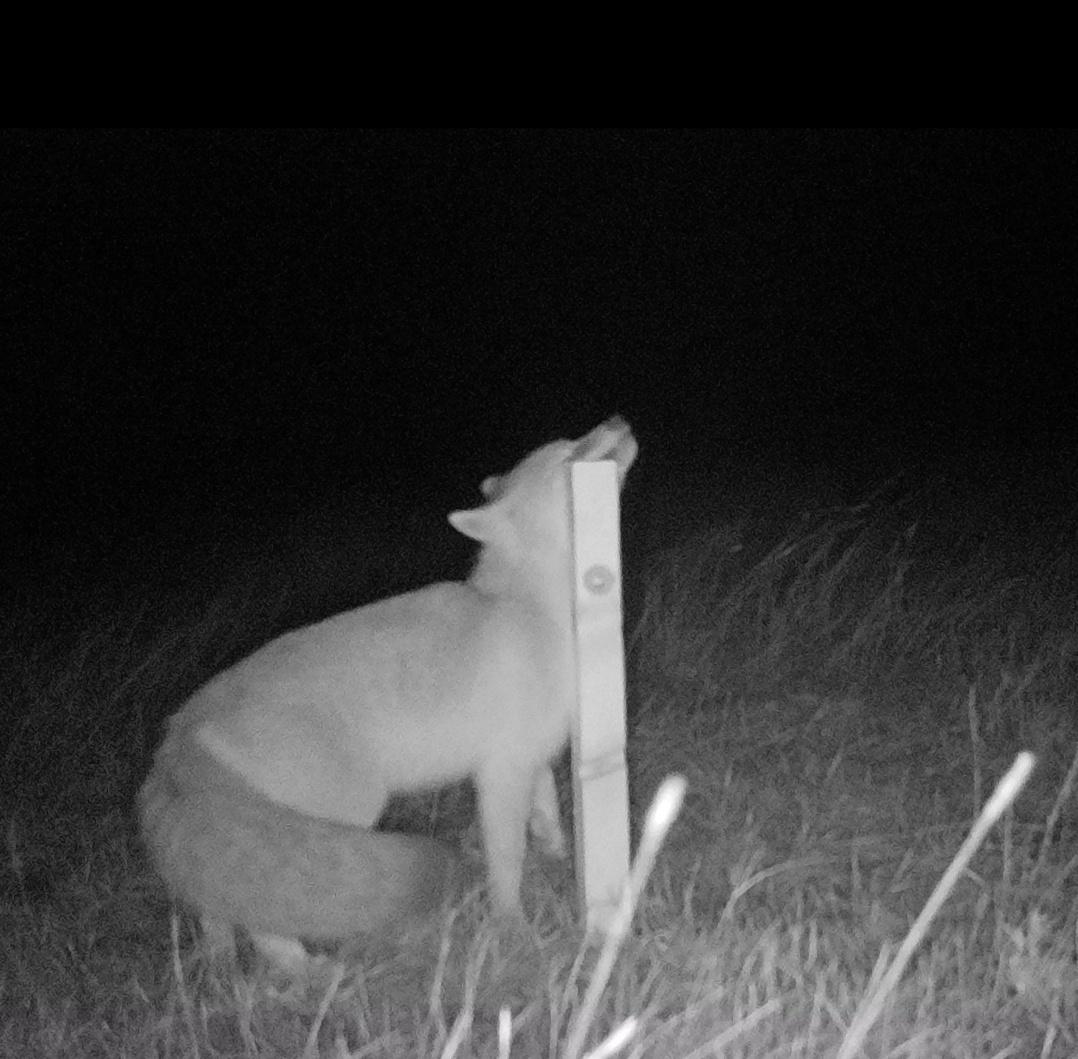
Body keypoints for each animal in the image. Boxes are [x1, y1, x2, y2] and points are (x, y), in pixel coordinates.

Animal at [139, 415, 638, 970]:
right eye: (569, 455)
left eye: (576, 439)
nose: (617, 419)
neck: (537, 609)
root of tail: (179, 732)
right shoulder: (501, 770)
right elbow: (507, 860)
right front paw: (513, 929)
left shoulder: (533, 752)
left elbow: (546, 807)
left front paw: (556, 851)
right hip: (351, 809)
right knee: (262, 922)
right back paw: (306, 973)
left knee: (219, 906)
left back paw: (228, 965)